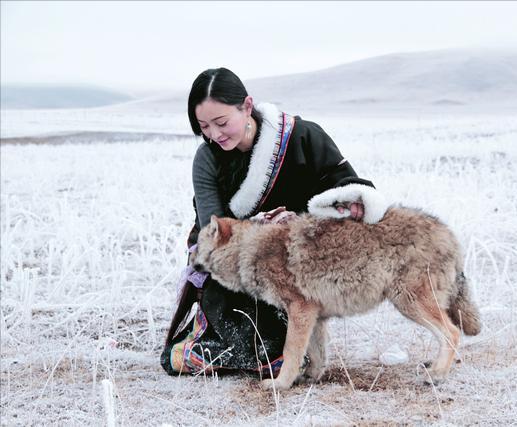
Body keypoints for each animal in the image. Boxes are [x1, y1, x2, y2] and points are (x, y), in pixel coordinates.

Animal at [189, 208, 480, 392]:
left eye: (197, 246)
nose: (189, 257)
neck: (248, 250)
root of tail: (449, 234)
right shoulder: (314, 316)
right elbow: (315, 354)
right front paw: (310, 377)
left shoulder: (300, 310)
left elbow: (292, 351)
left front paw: (280, 384)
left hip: (409, 303)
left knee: (452, 333)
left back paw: (437, 376)